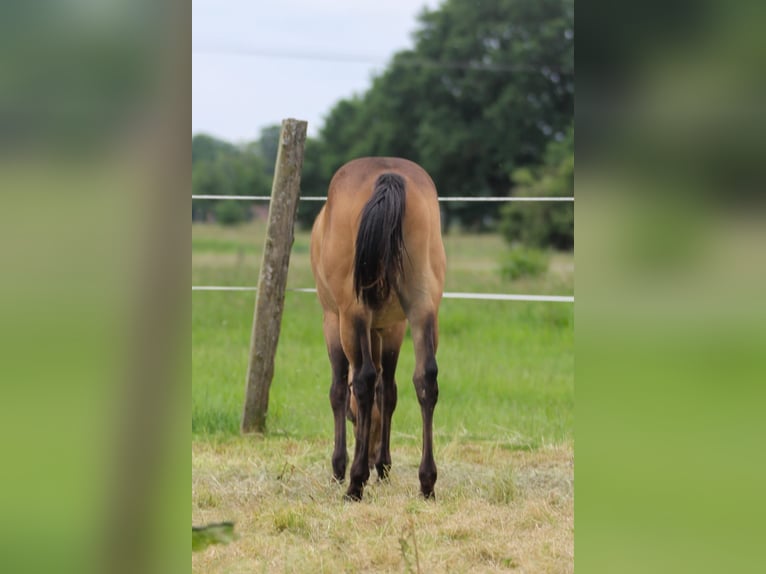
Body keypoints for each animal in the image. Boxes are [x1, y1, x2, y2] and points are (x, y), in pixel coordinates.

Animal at [310, 157, 446, 501]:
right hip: (423, 310)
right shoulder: (393, 328)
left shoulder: (332, 321)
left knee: (363, 380)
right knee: (425, 380)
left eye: (354, 418)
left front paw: (340, 467)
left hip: (351, 316)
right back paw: (426, 481)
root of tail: (388, 175)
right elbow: (389, 393)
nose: (372, 459)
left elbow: (339, 391)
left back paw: (355, 483)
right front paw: (384, 465)